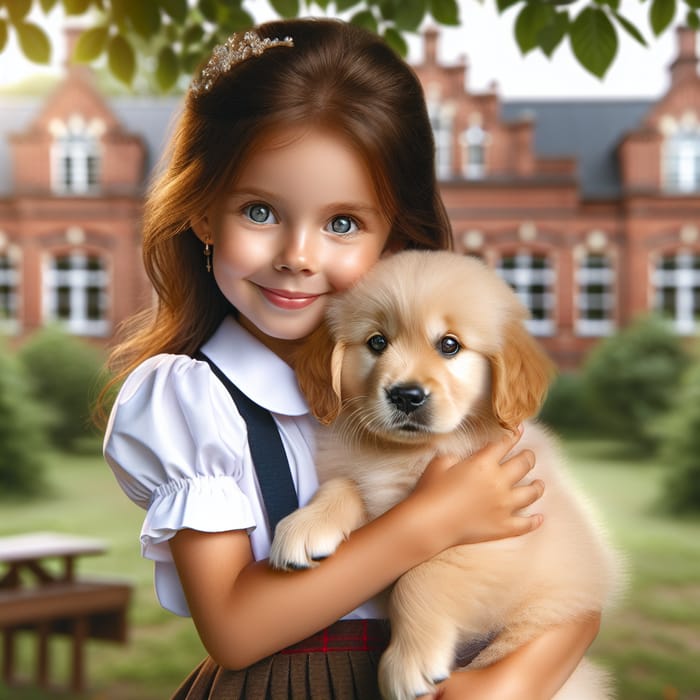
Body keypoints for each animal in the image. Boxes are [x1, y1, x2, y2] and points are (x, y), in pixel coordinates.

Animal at [270, 250, 624, 700]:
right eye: (377, 342)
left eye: (450, 345)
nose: (406, 396)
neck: (406, 454)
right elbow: (345, 483)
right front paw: (306, 525)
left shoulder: (501, 536)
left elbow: (425, 573)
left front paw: (409, 664)